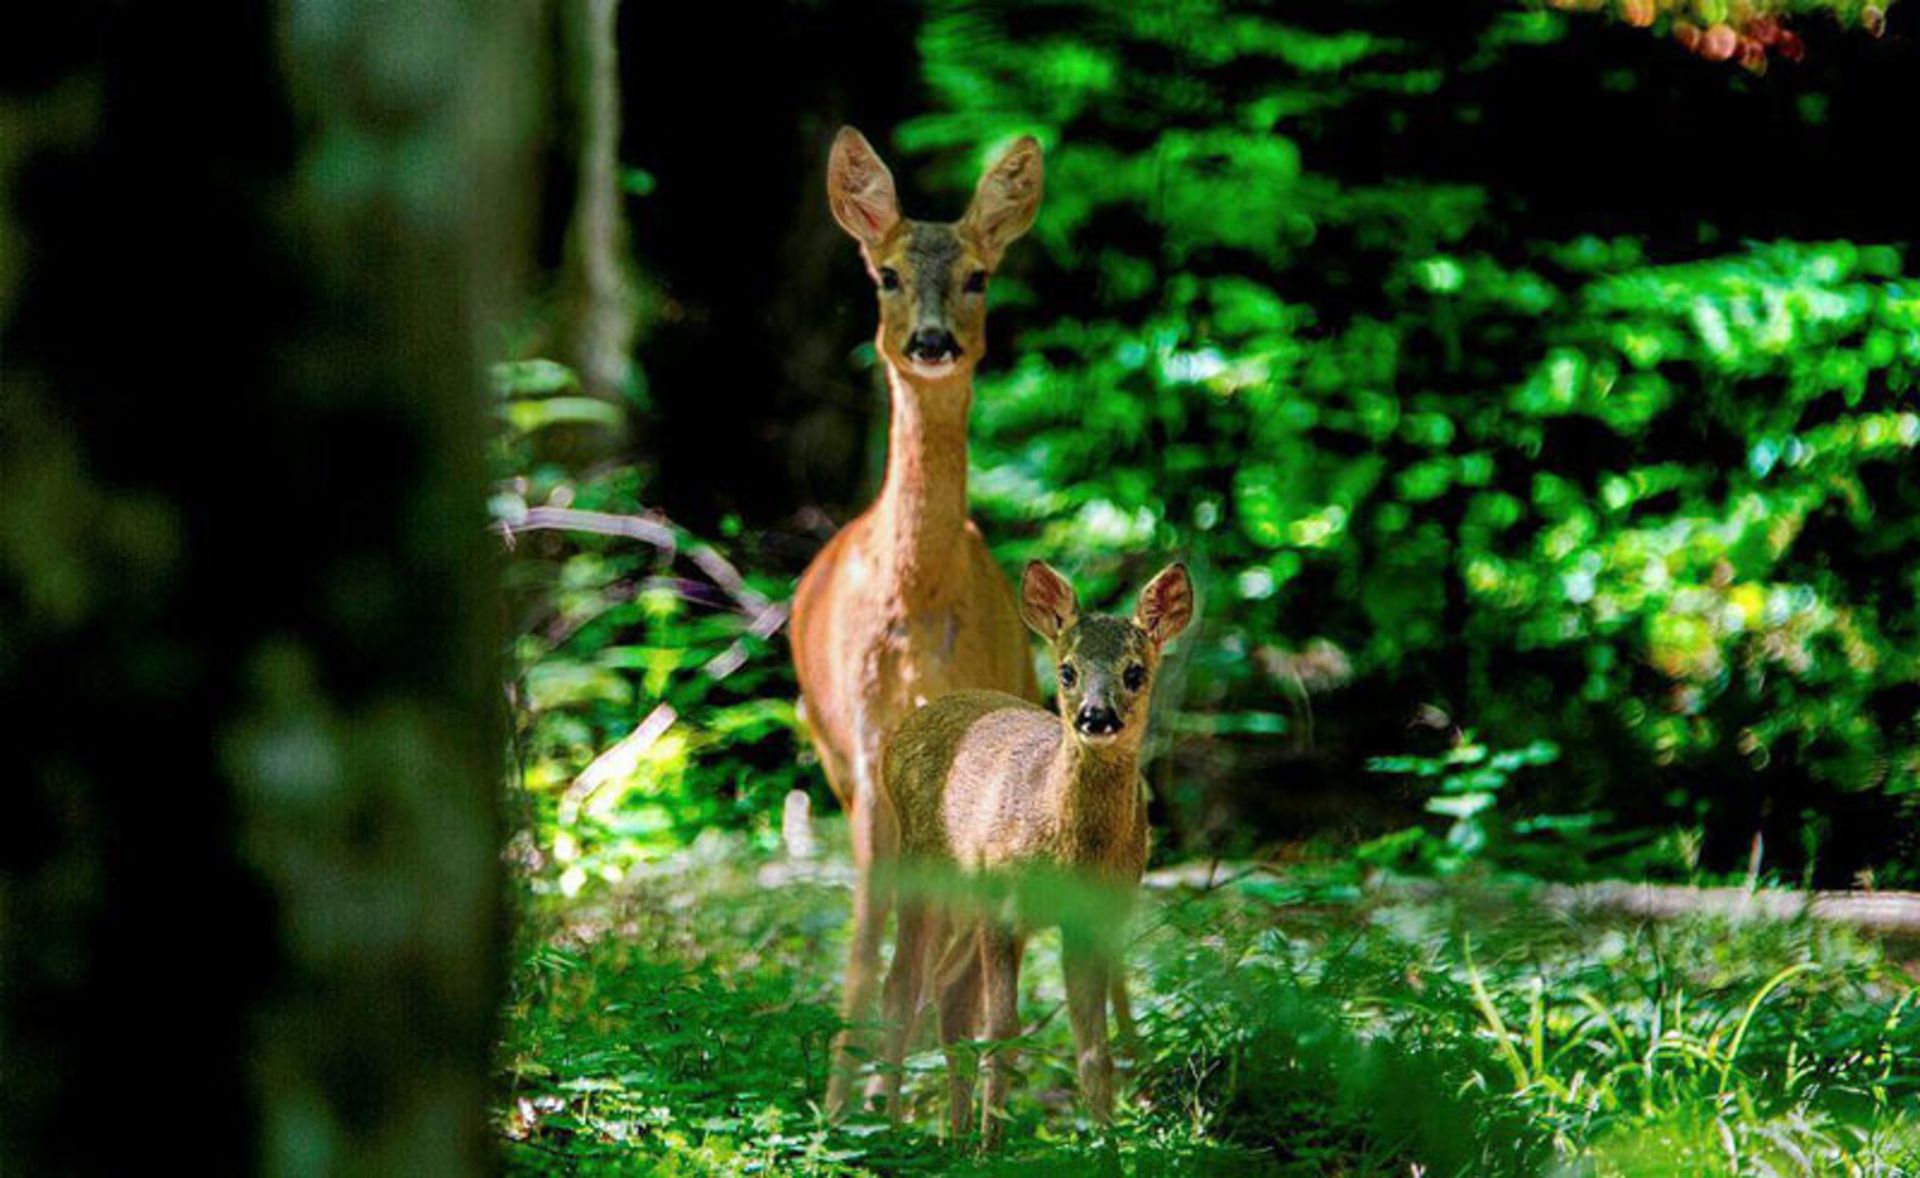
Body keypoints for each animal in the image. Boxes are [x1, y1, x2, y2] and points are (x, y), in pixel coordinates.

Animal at [787, 131, 1044, 1128]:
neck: (920, 598)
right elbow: (874, 946)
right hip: (836, 761)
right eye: (887, 273)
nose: (932, 342)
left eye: (978, 276)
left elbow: (943, 957)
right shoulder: (864, 753)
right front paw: (852, 1112)